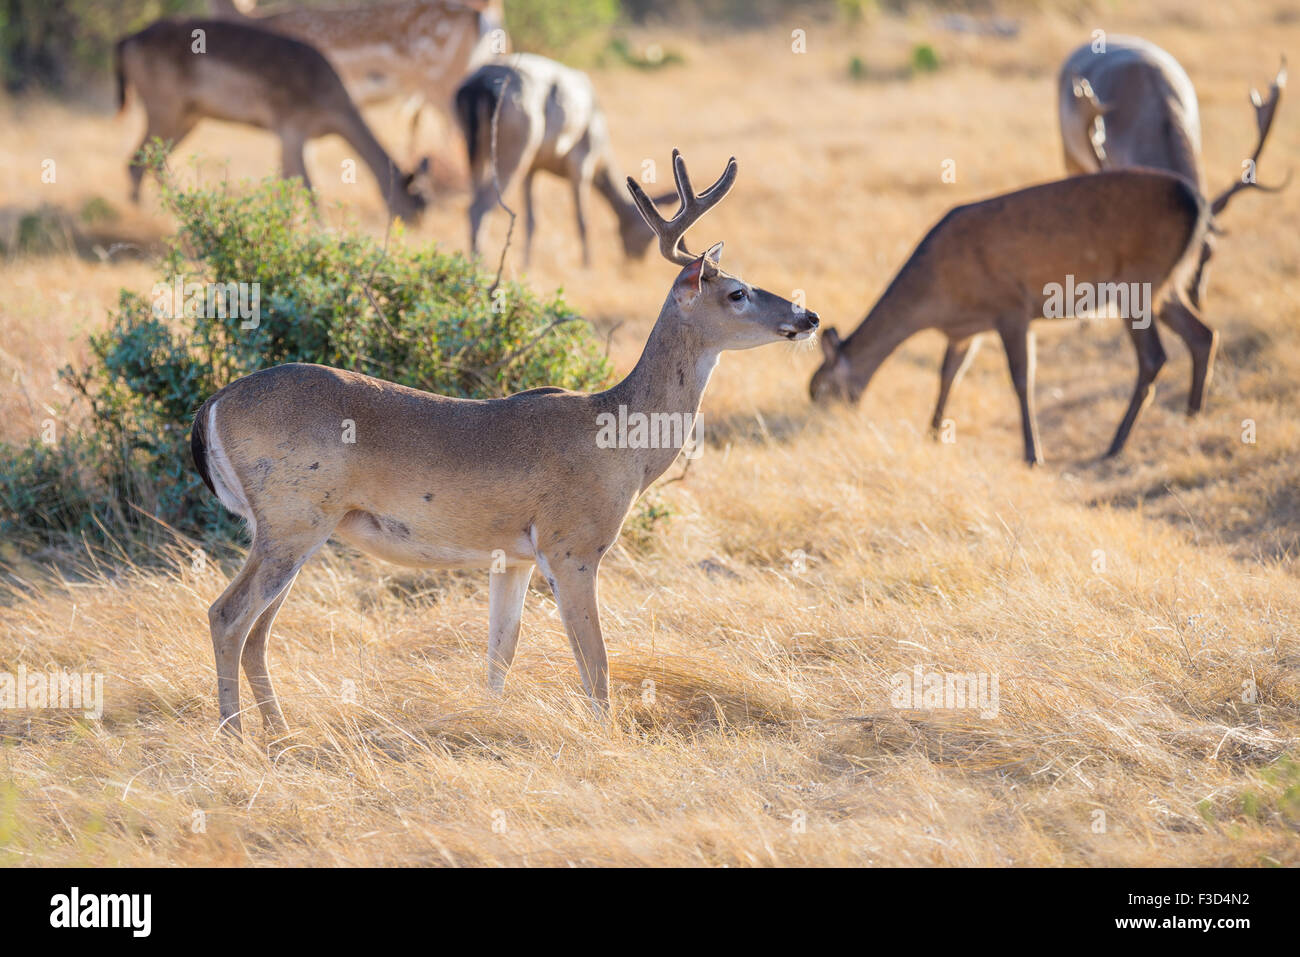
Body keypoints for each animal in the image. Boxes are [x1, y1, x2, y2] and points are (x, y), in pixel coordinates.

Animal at [116, 18, 431, 221]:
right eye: (415, 203)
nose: (411, 229)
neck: (329, 100)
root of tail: (127, 39)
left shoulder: (291, 137)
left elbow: (285, 183)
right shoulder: (292, 131)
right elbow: (306, 186)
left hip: (189, 117)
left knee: (145, 162)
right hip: (164, 111)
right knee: (139, 161)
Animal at [189, 151, 821, 733]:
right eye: (737, 292)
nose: (809, 316)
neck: (621, 438)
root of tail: (212, 406)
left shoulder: (511, 558)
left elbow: (499, 657)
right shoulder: (572, 545)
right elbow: (595, 663)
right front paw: (608, 739)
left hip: (295, 530)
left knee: (256, 631)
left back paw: (280, 734)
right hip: (292, 520)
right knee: (227, 615)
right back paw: (234, 739)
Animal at [806, 170, 1211, 465]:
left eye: (821, 388)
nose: (825, 422)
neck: (939, 297)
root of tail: (1199, 205)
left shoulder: (1011, 307)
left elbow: (1021, 379)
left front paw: (1033, 455)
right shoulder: (966, 330)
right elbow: (948, 375)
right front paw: (932, 433)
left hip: (1136, 283)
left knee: (1154, 356)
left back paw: (1115, 445)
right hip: (1166, 286)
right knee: (1203, 333)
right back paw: (1192, 415)